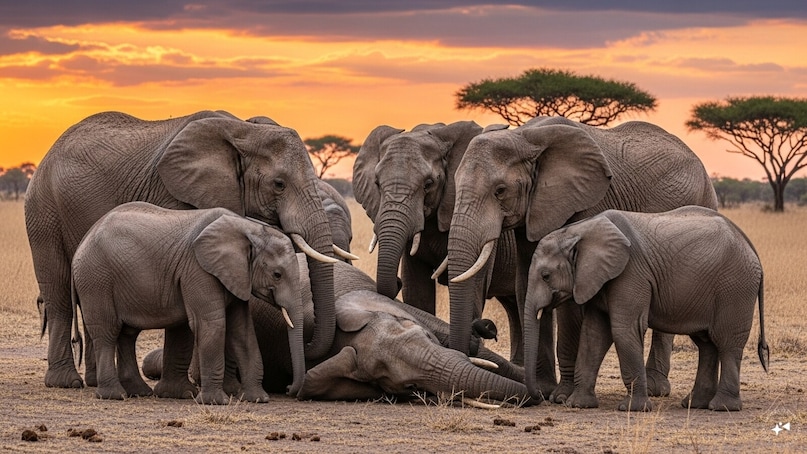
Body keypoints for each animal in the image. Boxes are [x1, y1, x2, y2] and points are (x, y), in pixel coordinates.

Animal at [72, 202, 307, 404]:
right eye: (277, 274)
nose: (289, 389)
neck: (249, 228)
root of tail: (82, 242)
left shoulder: (236, 275)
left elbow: (242, 331)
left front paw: (257, 399)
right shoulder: (198, 269)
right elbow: (212, 325)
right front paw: (215, 402)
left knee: (127, 334)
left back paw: (137, 392)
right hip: (96, 280)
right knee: (107, 332)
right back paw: (114, 395)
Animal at [445, 116, 719, 402]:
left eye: (500, 191)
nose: (484, 326)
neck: (526, 137)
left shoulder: (585, 204)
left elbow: (570, 301)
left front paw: (561, 396)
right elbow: (525, 286)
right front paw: (544, 390)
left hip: (699, 204)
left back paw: (656, 389)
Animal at [524, 206, 769, 411]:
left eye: (546, 276)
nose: (539, 397)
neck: (578, 231)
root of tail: (751, 248)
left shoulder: (631, 273)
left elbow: (624, 329)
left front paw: (633, 409)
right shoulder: (597, 278)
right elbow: (593, 335)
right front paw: (578, 405)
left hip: (735, 287)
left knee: (727, 343)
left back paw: (722, 407)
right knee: (706, 344)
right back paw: (694, 404)